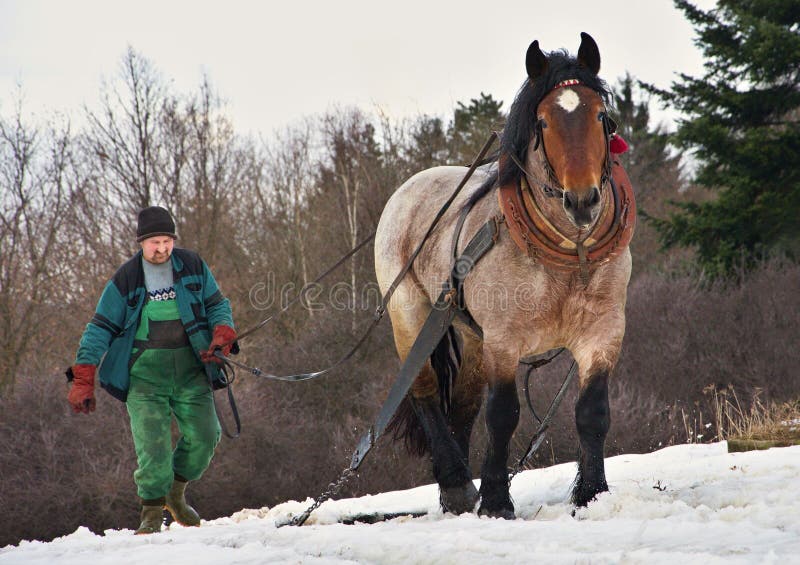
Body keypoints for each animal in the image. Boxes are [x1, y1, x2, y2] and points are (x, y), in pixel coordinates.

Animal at [372, 33, 636, 516]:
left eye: (600, 116)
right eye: (544, 123)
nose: (583, 200)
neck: (569, 254)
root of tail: (410, 186)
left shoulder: (603, 333)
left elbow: (592, 412)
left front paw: (591, 494)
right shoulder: (504, 339)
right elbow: (503, 415)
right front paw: (496, 500)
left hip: (471, 337)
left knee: (463, 403)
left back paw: (454, 492)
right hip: (411, 316)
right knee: (424, 392)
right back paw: (458, 483)